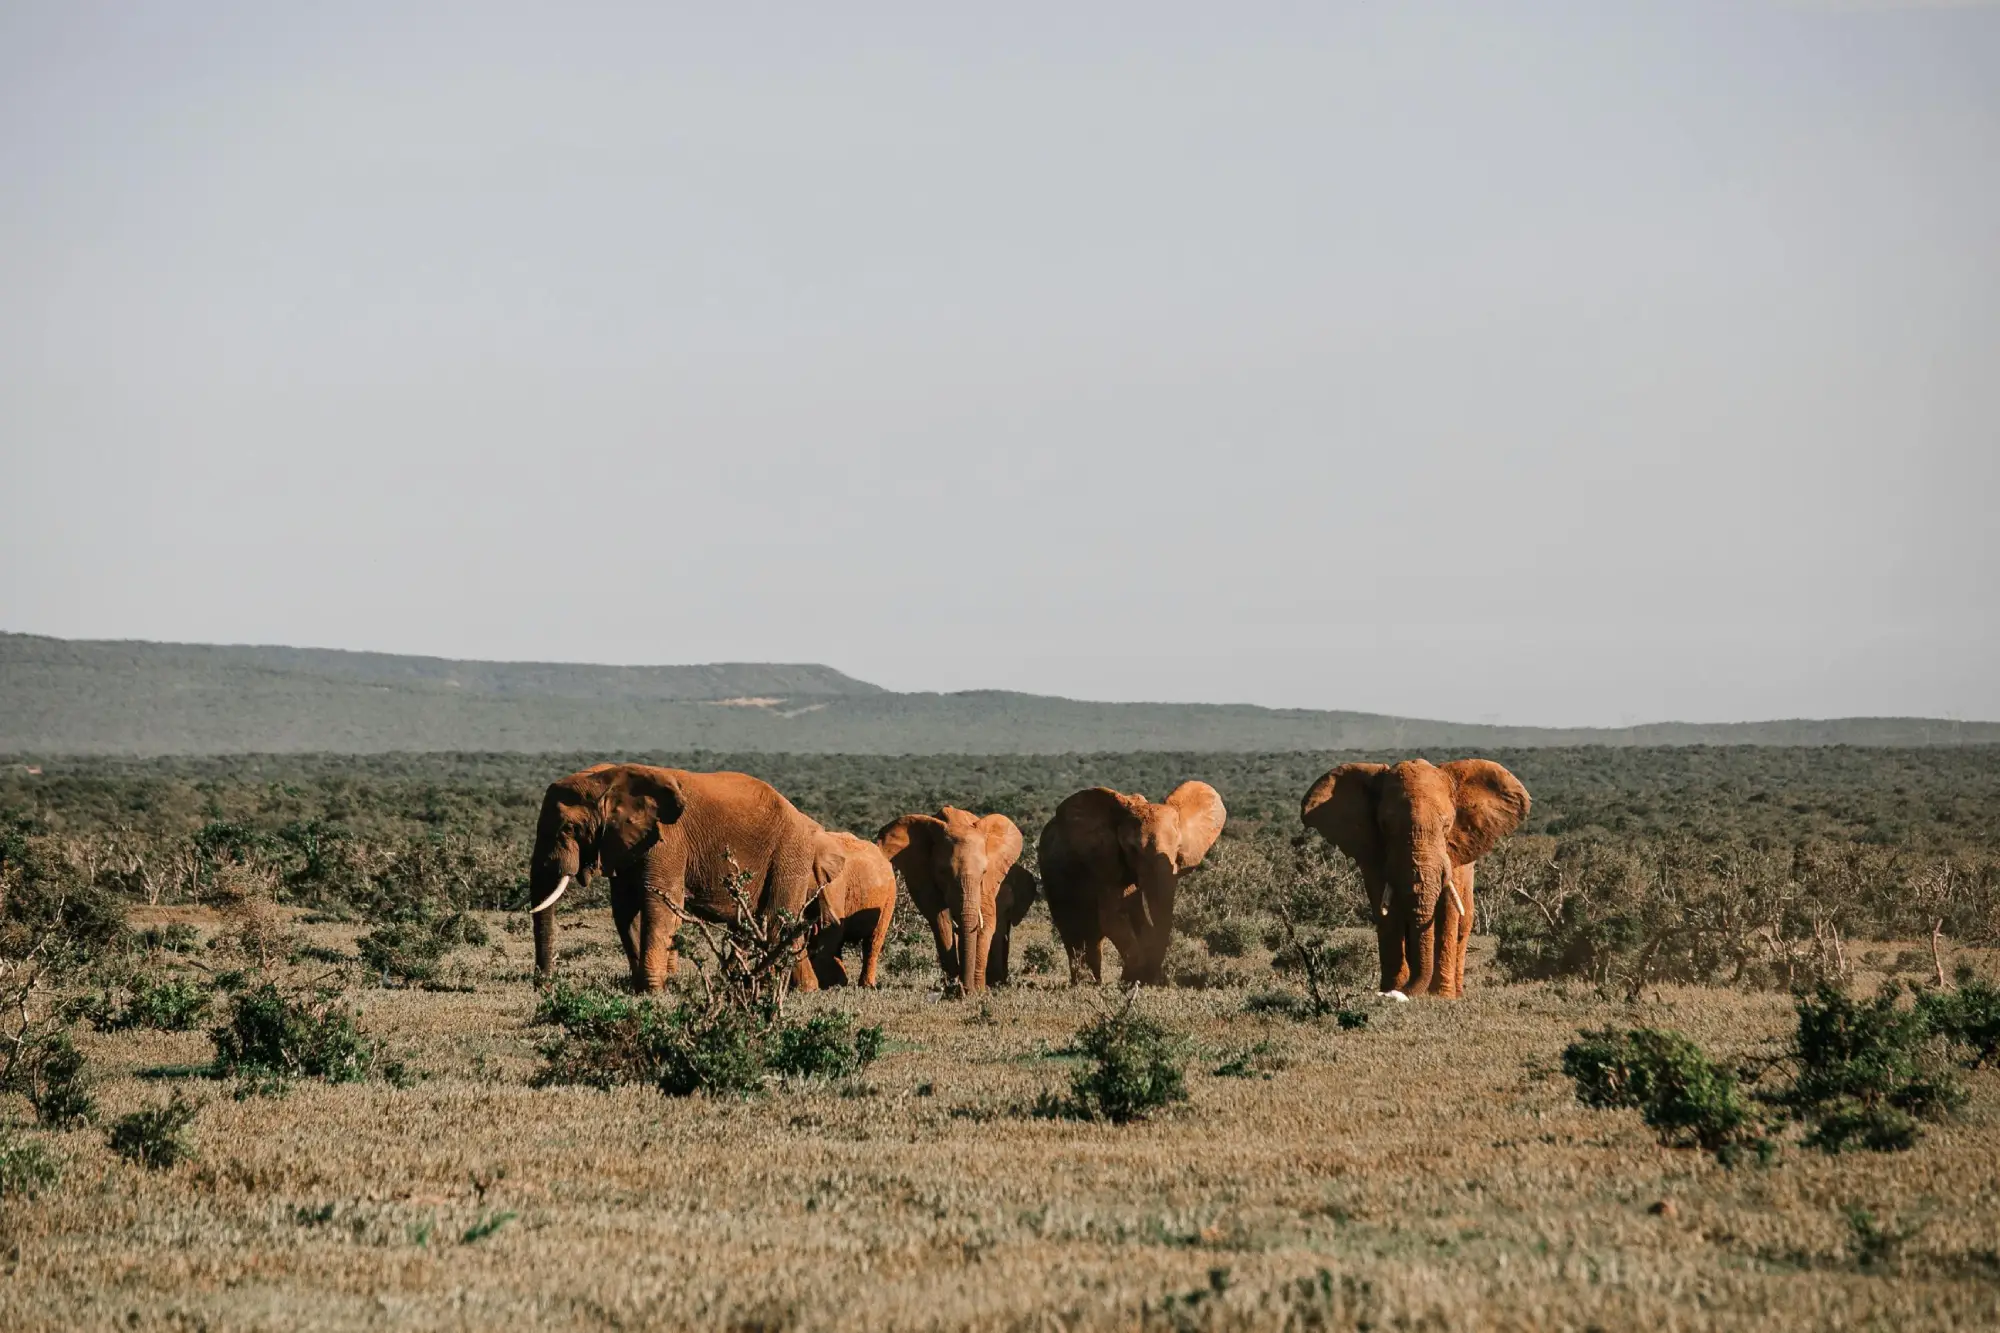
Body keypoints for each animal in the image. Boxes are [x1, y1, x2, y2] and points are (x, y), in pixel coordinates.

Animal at [528, 764, 832, 992]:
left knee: (777, 920)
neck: (606, 779)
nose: (544, 985)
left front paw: (651, 990)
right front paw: (641, 986)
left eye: (569, 828)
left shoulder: (667, 840)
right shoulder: (624, 844)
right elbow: (625, 909)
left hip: (790, 852)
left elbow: (660, 904)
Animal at [804, 832, 900, 984]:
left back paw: (866, 985)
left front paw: (830, 984)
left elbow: (831, 929)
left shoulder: (834, 885)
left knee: (873, 941)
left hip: (890, 895)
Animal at [872, 804, 1032, 992]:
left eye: (984, 872)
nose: (965, 989)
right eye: (943, 872)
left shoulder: (990, 880)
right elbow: (940, 920)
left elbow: (986, 921)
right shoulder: (923, 874)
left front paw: (977, 990)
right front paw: (955, 987)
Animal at [1040, 780, 1224, 984]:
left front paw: (1135, 978)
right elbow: (1112, 917)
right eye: (1133, 849)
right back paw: (1083, 983)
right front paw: (1133, 978)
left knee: (1093, 937)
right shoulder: (1104, 863)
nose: (1155, 981)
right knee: (1072, 932)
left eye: (1178, 848)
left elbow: (1136, 916)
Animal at [1296, 756, 1528, 996]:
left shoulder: (1452, 855)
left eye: (1447, 826)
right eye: (1385, 826)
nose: (1401, 993)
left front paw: (1441, 996)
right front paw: (1392, 989)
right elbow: (1387, 912)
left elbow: (1448, 912)